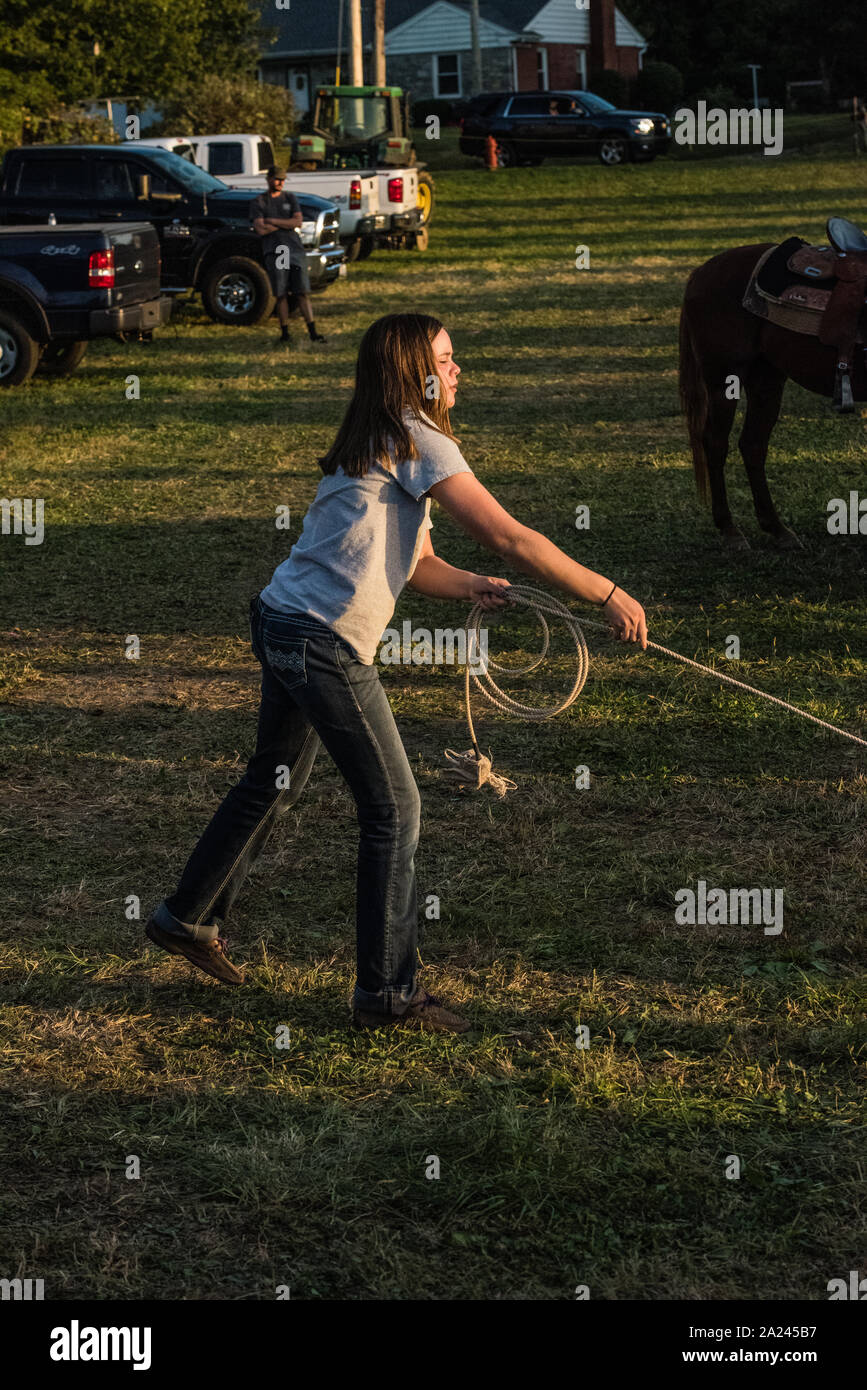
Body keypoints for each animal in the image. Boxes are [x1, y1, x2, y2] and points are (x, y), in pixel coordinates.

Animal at [680, 244, 861, 547]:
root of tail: (700, 272)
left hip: (766, 380)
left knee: (752, 444)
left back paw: (777, 528)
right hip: (723, 379)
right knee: (716, 442)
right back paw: (730, 529)